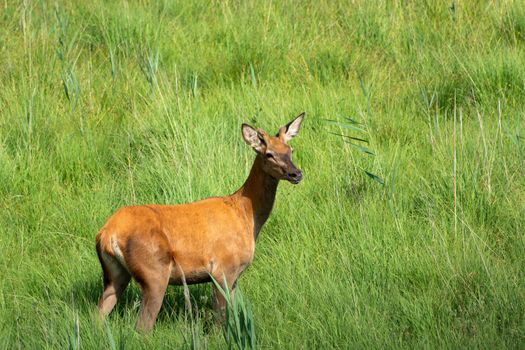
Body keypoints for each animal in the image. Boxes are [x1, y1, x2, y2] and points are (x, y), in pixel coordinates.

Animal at [96, 112, 304, 330]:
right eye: (269, 154)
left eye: (290, 150)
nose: (296, 173)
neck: (246, 215)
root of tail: (107, 233)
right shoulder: (223, 268)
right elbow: (220, 320)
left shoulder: (234, 276)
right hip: (154, 271)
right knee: (142, 326)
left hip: (114, 274)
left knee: (98, 315)